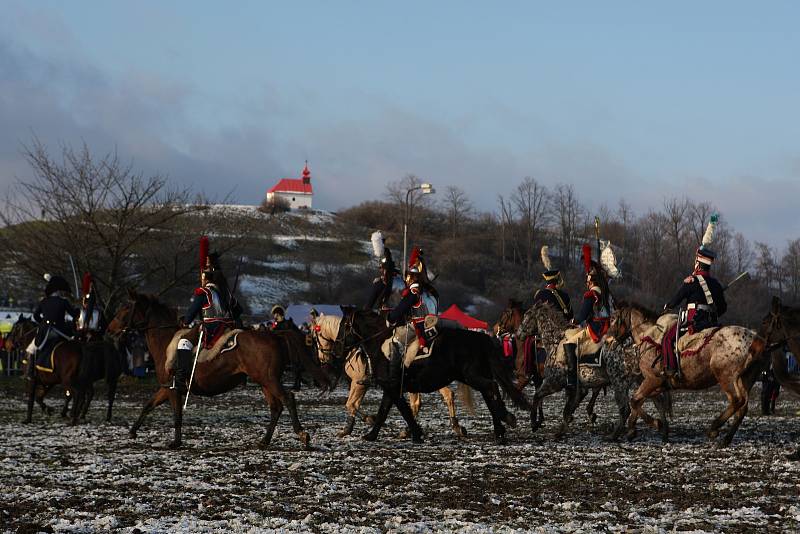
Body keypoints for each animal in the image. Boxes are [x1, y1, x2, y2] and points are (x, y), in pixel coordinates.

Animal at [107, 292, 332, 450]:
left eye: (126, 308)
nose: (109, 330)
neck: (165, 340)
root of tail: (273, 335)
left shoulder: (173, 389)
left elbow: (176, 415)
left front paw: (176, 442)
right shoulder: (166, 388)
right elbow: (148, 405)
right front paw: (133, 431)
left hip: (269, 380)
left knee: (288, 399)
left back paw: (302, 435)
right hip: (264, 381)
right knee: (276, 407)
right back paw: (264, 441)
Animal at [310, 314, 476, 440]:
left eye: (316, 336)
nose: (323, 358)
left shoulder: (359, 383)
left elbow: (351, 404)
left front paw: (368, 420)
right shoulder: (362, 384)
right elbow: (352, 404)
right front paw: (347, 429)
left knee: (426, 401)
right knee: (441, 396)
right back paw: (453, 427)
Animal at [338, 308, 532, 446]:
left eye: (344, 326)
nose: (338, 347)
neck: (380, 344)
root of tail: (481, 338)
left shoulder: (392, 387)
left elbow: (400, 410)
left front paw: (415, 434)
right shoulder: (391, 389)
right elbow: (386, 411)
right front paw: (372, 435)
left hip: (472, 376)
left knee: (491, 388)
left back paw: (504, 423)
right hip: (472, 376)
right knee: (489, 394)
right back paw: (501, 429)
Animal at [608, 302, 764, 448]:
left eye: (613, 319)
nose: (609, 341)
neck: (649, 336)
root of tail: (754, 339)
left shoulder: (652, 380)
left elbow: (635, 401)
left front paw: (655, 424)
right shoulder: (658, 385)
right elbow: (640, 401)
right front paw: (632, 430)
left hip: (726, 378)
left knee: (737, 401)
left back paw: (713, 430)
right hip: (745, 379)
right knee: (742, 407)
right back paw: (725, 439)